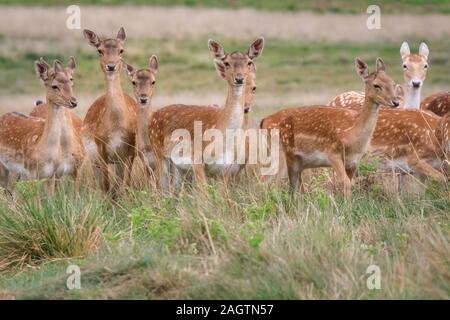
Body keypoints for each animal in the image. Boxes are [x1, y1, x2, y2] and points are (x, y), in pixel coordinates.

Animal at [0, 59, 78, 191]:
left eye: (71, 82)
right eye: (54, 86)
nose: (73, 101)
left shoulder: (51, 174)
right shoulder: (31, 171)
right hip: (5, 167)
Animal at [81, 27, 137, 194]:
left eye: (121, 50)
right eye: (100, 50)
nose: (111, 66)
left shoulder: (130, 150)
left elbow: (125, 185)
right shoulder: (101, 148)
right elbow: (106, 187)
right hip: (94, 160)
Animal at [148, 37, 266, 190]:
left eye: (249, 62)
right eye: (227, 63)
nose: (239, 78)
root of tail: (152, 117)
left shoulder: (226, 168)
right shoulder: (197, 160)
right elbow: (204, 194)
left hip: (177, 166)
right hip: (159, 153)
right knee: (159, 188)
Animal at [278, 58, 400, 196]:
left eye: (393, 83)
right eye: (376, 85)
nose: (395, 102)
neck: (352, 136)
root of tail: (281, 124)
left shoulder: (354, 161)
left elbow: (350, 183)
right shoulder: (332, 152)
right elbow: (345, 183)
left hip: (302, 162)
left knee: (299, 185)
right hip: (289, 154)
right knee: (287, 185)